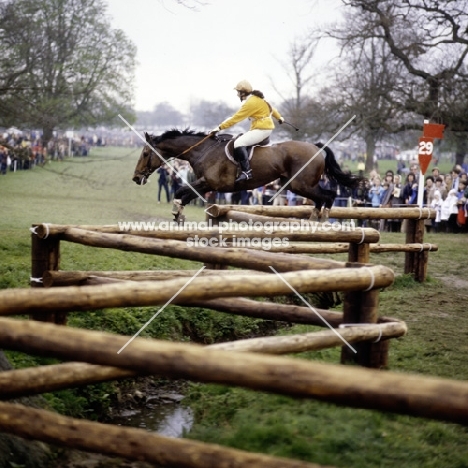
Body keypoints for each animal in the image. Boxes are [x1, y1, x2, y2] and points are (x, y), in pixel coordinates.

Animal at [132, 129, 362, 222]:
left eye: (145, 153)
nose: (135, 178)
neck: (203, 150)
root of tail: (317, 148)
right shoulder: (206, 185)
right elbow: (183, 193)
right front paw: (178, 213)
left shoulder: (211, 184)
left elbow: (182, 190)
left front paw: (177, 211)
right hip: (294, 185)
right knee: (320, 199)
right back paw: (314, 220)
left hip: (300, 185)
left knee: (329, 196)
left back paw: (323, 221)